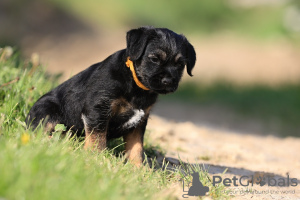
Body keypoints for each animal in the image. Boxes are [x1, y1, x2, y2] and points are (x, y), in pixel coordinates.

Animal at [26, 27, 197, 167]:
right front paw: (96, 158)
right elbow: (97, 138)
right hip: (47, 110)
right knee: (40, 132)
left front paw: (138, 168)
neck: (133, 81)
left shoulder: (139, 122)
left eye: (180, 64)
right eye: (154, 59)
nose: (168, 81)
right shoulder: (98, 109)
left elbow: (136, 147)